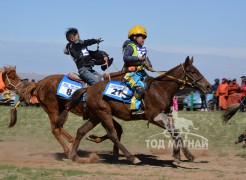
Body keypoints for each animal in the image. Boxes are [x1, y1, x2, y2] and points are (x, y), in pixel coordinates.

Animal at [57, 56, 211, 163]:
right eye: (193, 71)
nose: (208, 86)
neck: (160, 90)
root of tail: (89, 89)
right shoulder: (155, 118)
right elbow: (174, 132)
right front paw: (180, 156)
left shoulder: (167, 116)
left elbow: (176, 132)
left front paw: (185, 156)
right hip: (103, 113)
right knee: (113, 135)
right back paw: (131, 157)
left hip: (96, 115)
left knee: (81, 131)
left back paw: (74, 156)